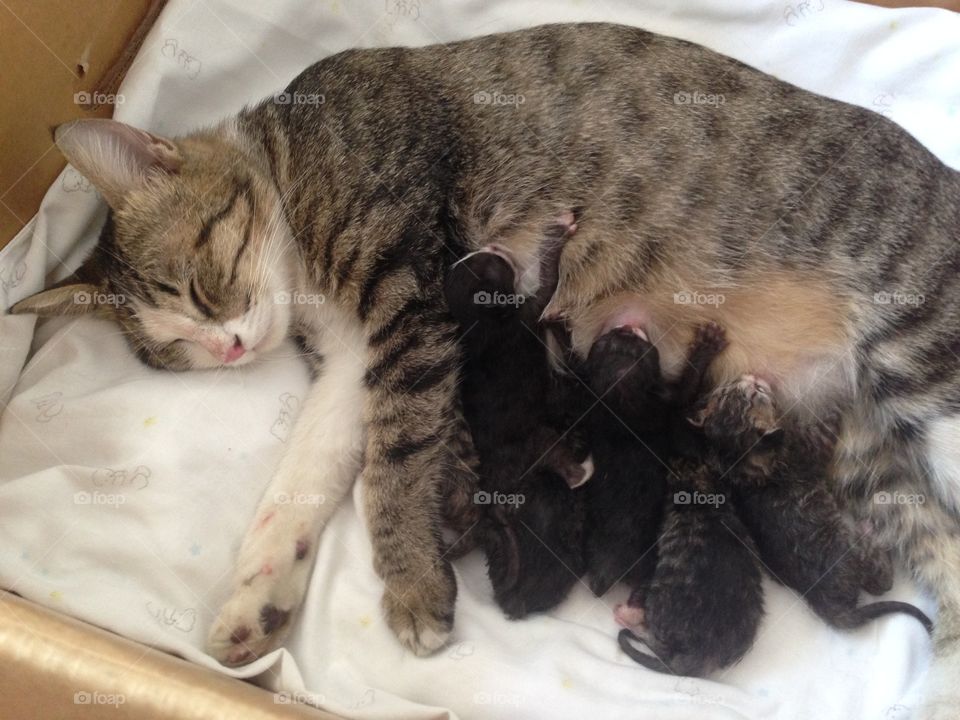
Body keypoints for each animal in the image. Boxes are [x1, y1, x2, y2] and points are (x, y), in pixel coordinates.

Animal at [692, 376, 932, 636]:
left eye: (726, 391)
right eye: (755, 395)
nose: (751, 378)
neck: (739, 460)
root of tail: (823, 601)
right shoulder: (811, 442)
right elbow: (830, 416)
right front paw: (845, 391)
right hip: (853, 549)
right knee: (880, 582)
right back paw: (869, 534)